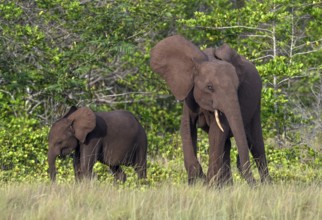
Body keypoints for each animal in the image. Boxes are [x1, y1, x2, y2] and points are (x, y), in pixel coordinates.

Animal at [150, 34, 270, 186]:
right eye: (210, 87)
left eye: (237, 88)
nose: (254, 183)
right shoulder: (189, 95)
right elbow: (187, 128)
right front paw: (196, 180)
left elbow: (217, 133)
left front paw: (207, 185)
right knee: (229, 144)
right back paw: (226, 186)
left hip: (256, 104)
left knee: (256, 144)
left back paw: (265, 185)